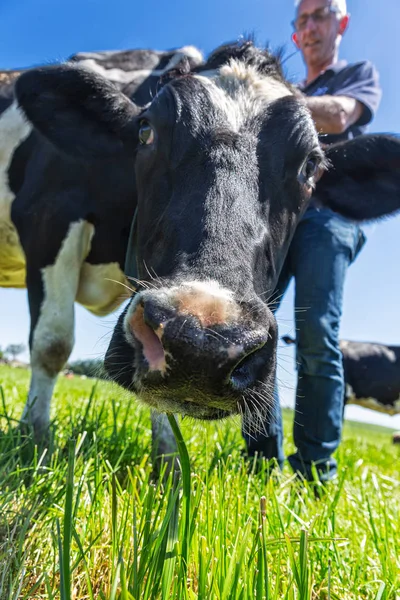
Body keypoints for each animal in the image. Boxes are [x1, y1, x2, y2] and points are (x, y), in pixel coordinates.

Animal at [4, 39, 400, 452]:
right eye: (145, 131)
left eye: (311, 166)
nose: (203, 342)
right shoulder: (48, 216)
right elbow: (52, 343)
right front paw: (35, 438)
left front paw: (168, 461)